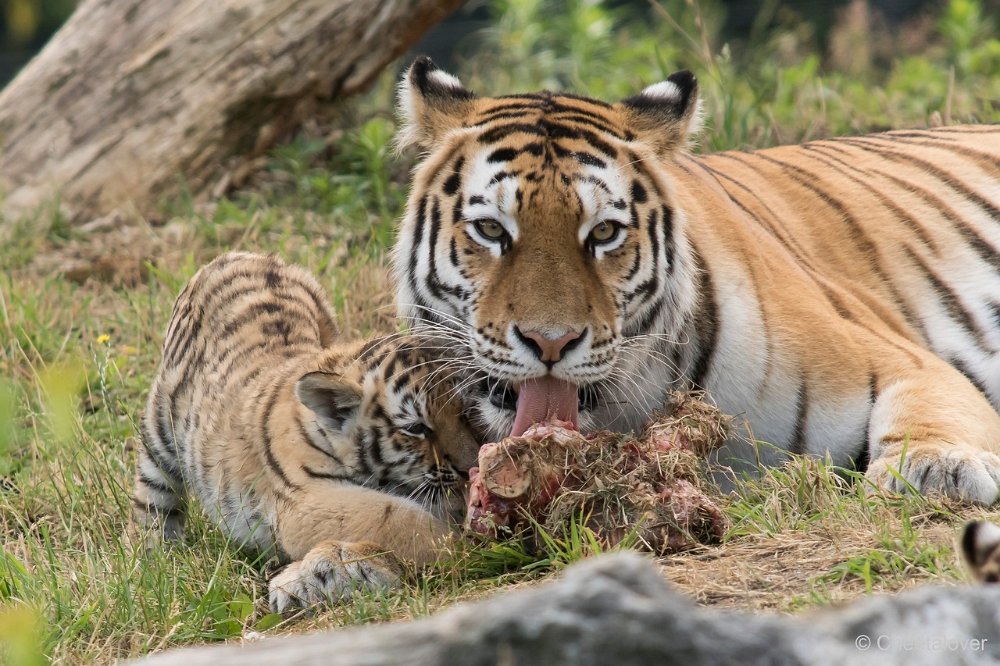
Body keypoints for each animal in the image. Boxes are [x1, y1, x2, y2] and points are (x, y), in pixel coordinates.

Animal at [390, 58, 1000, 504]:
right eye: (492, 229)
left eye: (603, 232)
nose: (551, 343)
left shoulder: (895, 356)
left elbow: (931, 406)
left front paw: (938, 468)